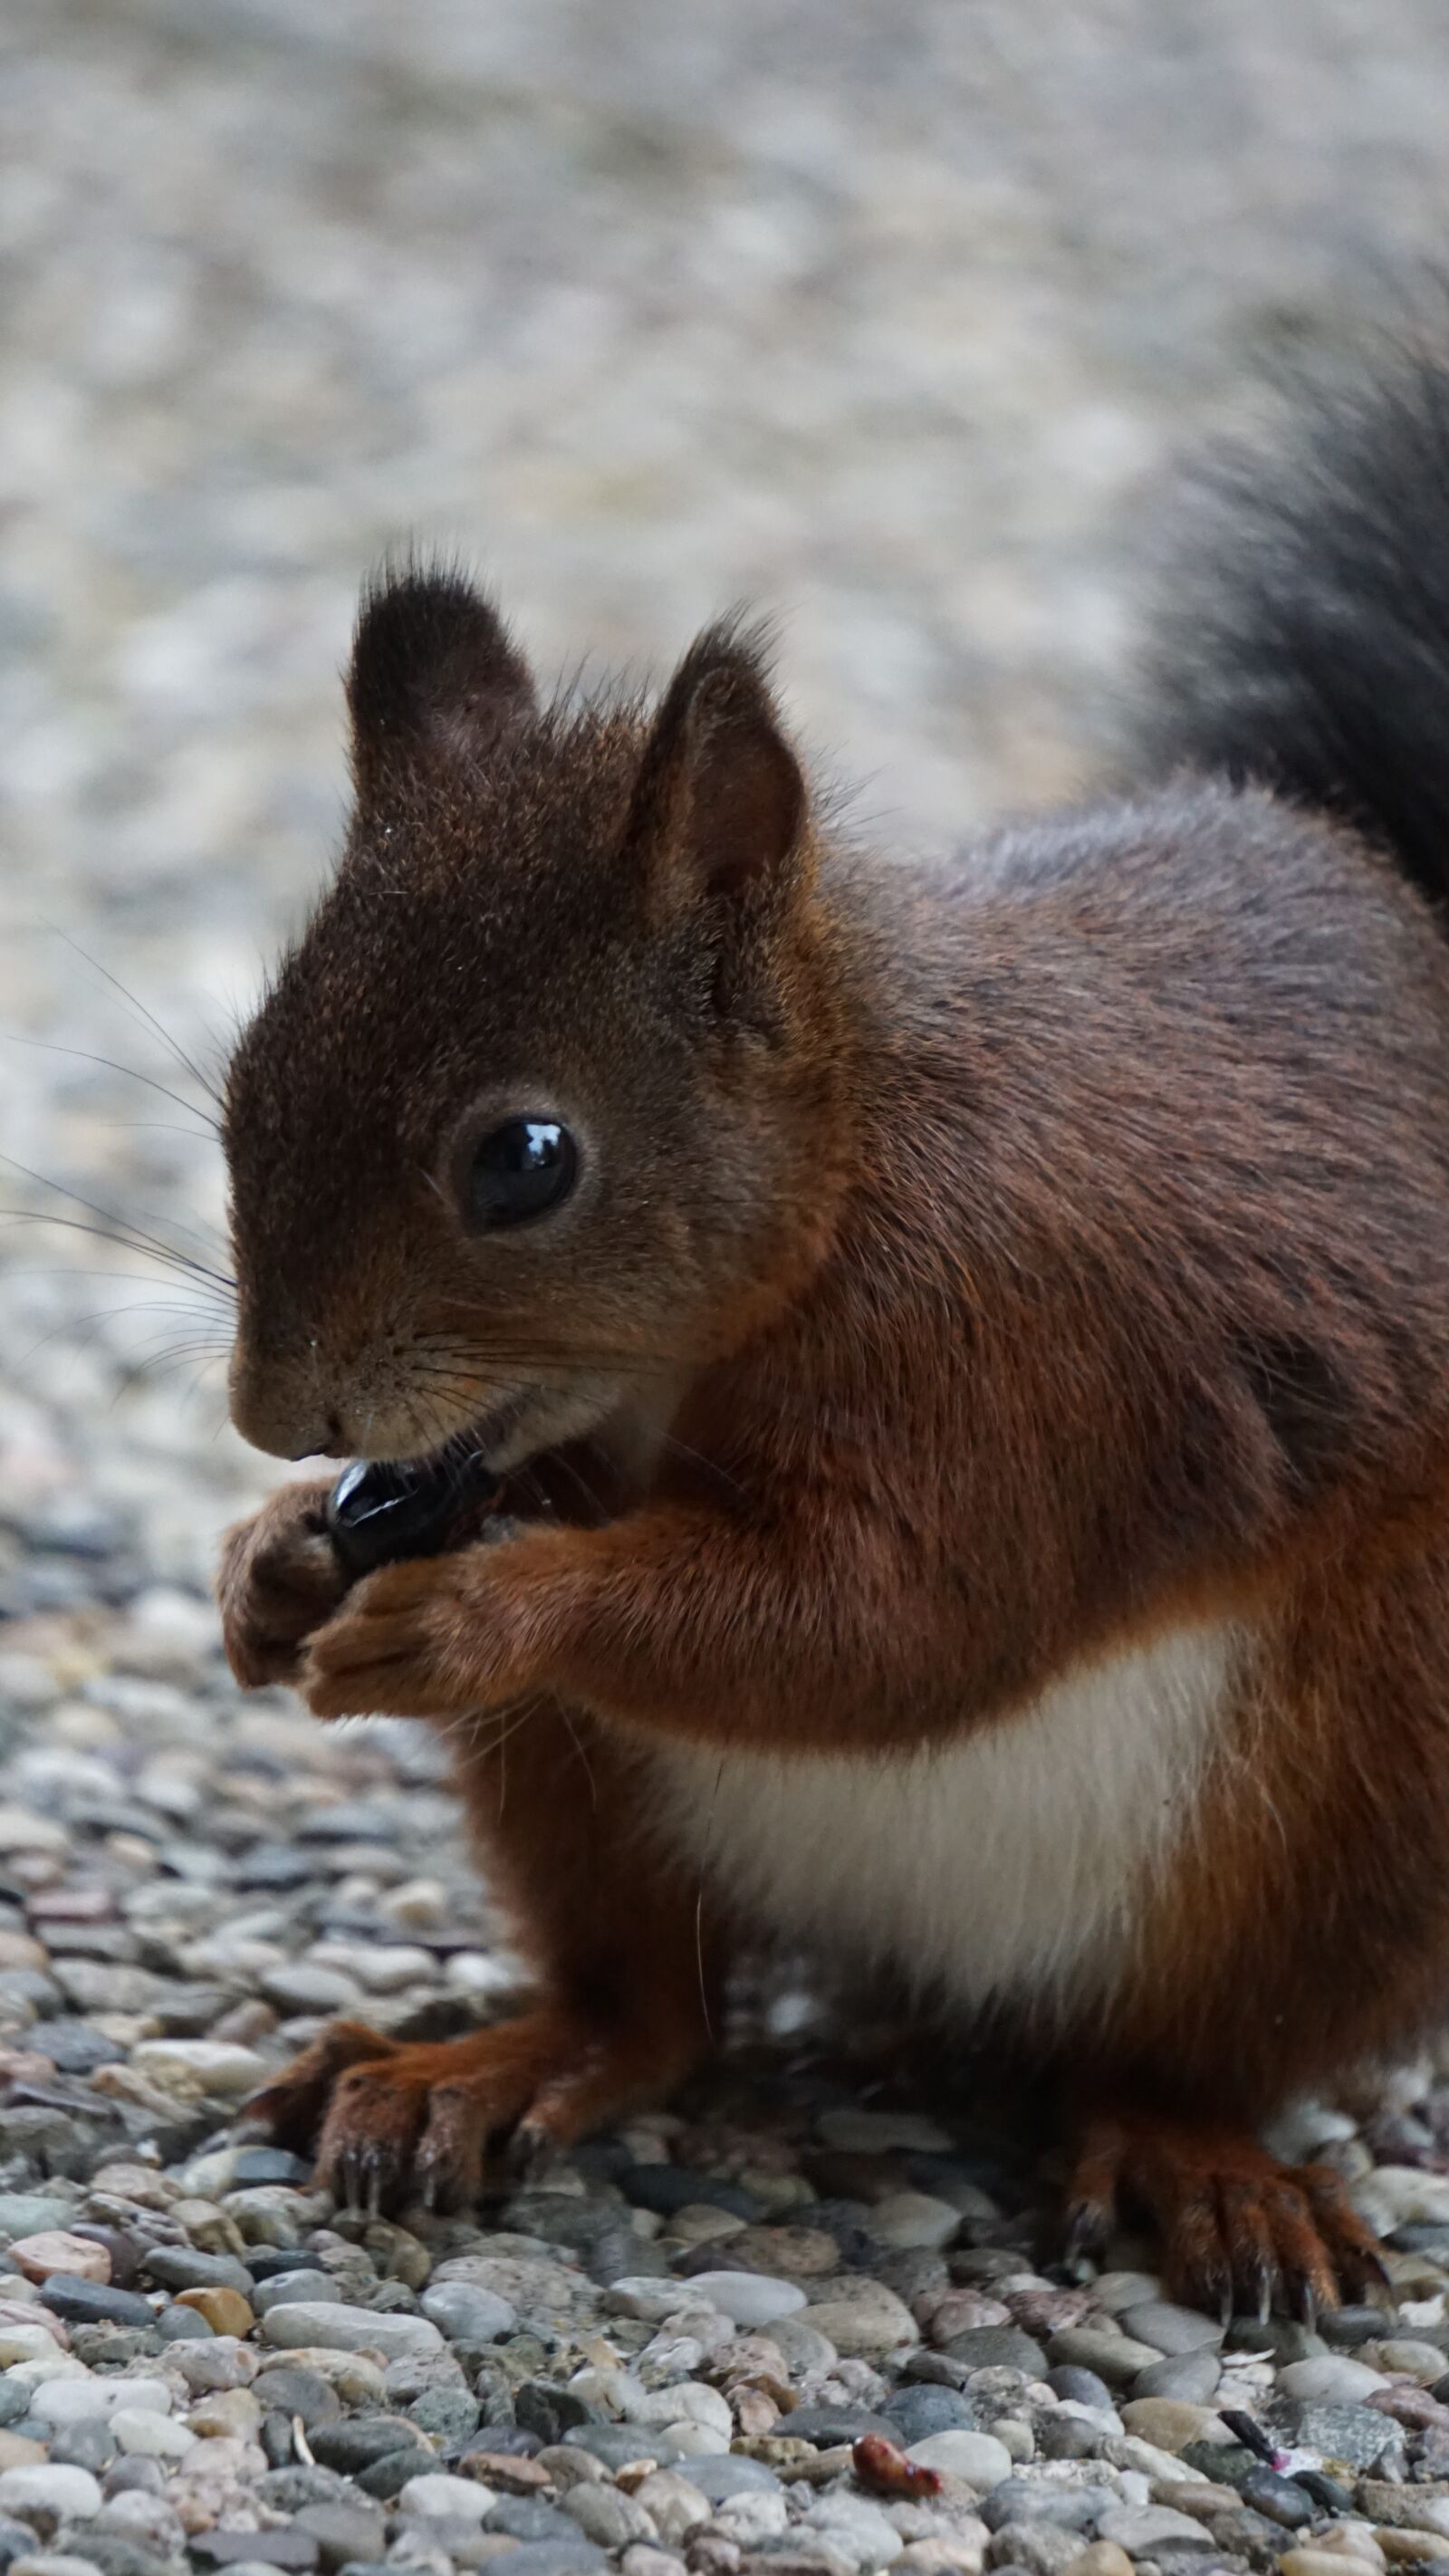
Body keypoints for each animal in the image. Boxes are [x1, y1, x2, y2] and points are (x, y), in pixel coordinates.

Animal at [215, 332, 1449, 2328]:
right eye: (250, 1072)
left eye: (523, 1159)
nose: (270, 1414)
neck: (851, 1157)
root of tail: (921, 1968)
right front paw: (266, 1563)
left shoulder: (1029, 1347)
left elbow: (895, 1619)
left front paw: (482, 1609)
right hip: (580, 1787)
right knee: (653, 2007)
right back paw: (484, 2065)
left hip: (1357, 1803)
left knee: (1180, 2048)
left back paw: (1199, 2161)